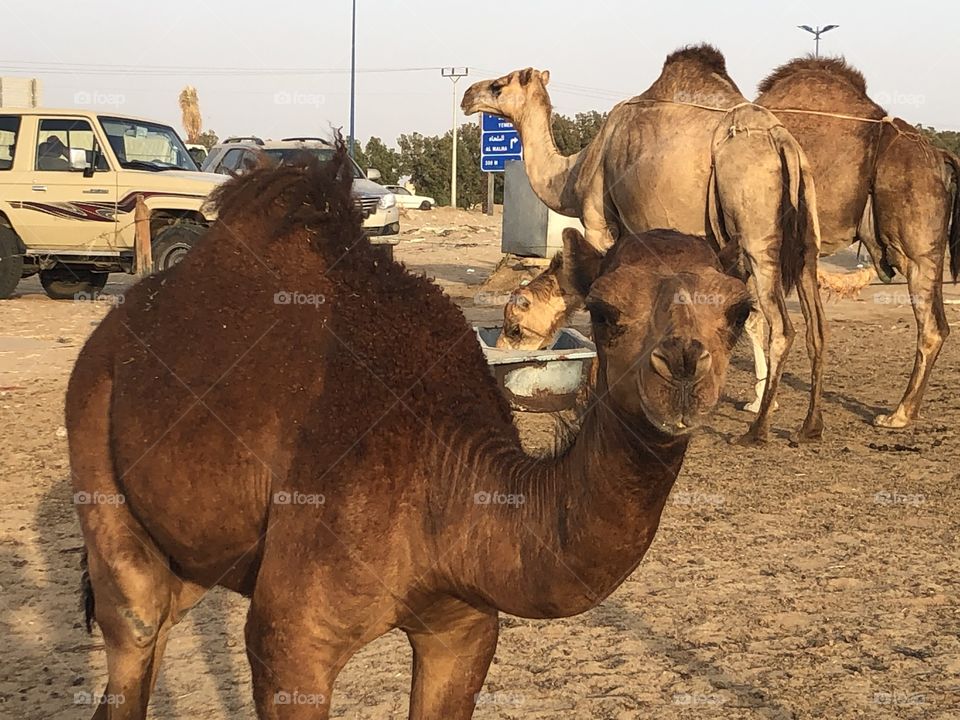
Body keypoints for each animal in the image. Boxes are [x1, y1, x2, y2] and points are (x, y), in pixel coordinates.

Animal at [66, 146, 753, 719]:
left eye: (740, 311)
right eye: (605, 312)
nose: (682, 367)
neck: (443, 483)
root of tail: (115, 327)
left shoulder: (462, 629)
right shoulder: (293, 645)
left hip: (190, 551)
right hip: (97, 457)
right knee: (134, 628)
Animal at [463, 46, 826, 443]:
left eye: (498, 85)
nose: (467, 96)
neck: (572, 173)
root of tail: (782, 141)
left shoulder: (599, 220)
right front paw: (755, 399)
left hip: (754, 226)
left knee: (782, 328)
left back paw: (756, 431)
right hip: (805, 230)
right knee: (816, 324)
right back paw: (808, 426)